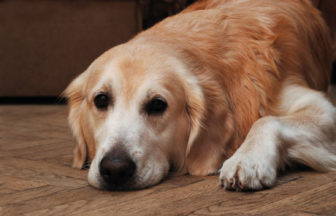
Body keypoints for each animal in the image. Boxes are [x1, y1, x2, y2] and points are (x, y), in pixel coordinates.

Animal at [64, 0, 336, 191]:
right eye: (101, 99)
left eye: (157, 105)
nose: (115, 169)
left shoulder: (321, 107)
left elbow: (266, 120)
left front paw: (247, 159)